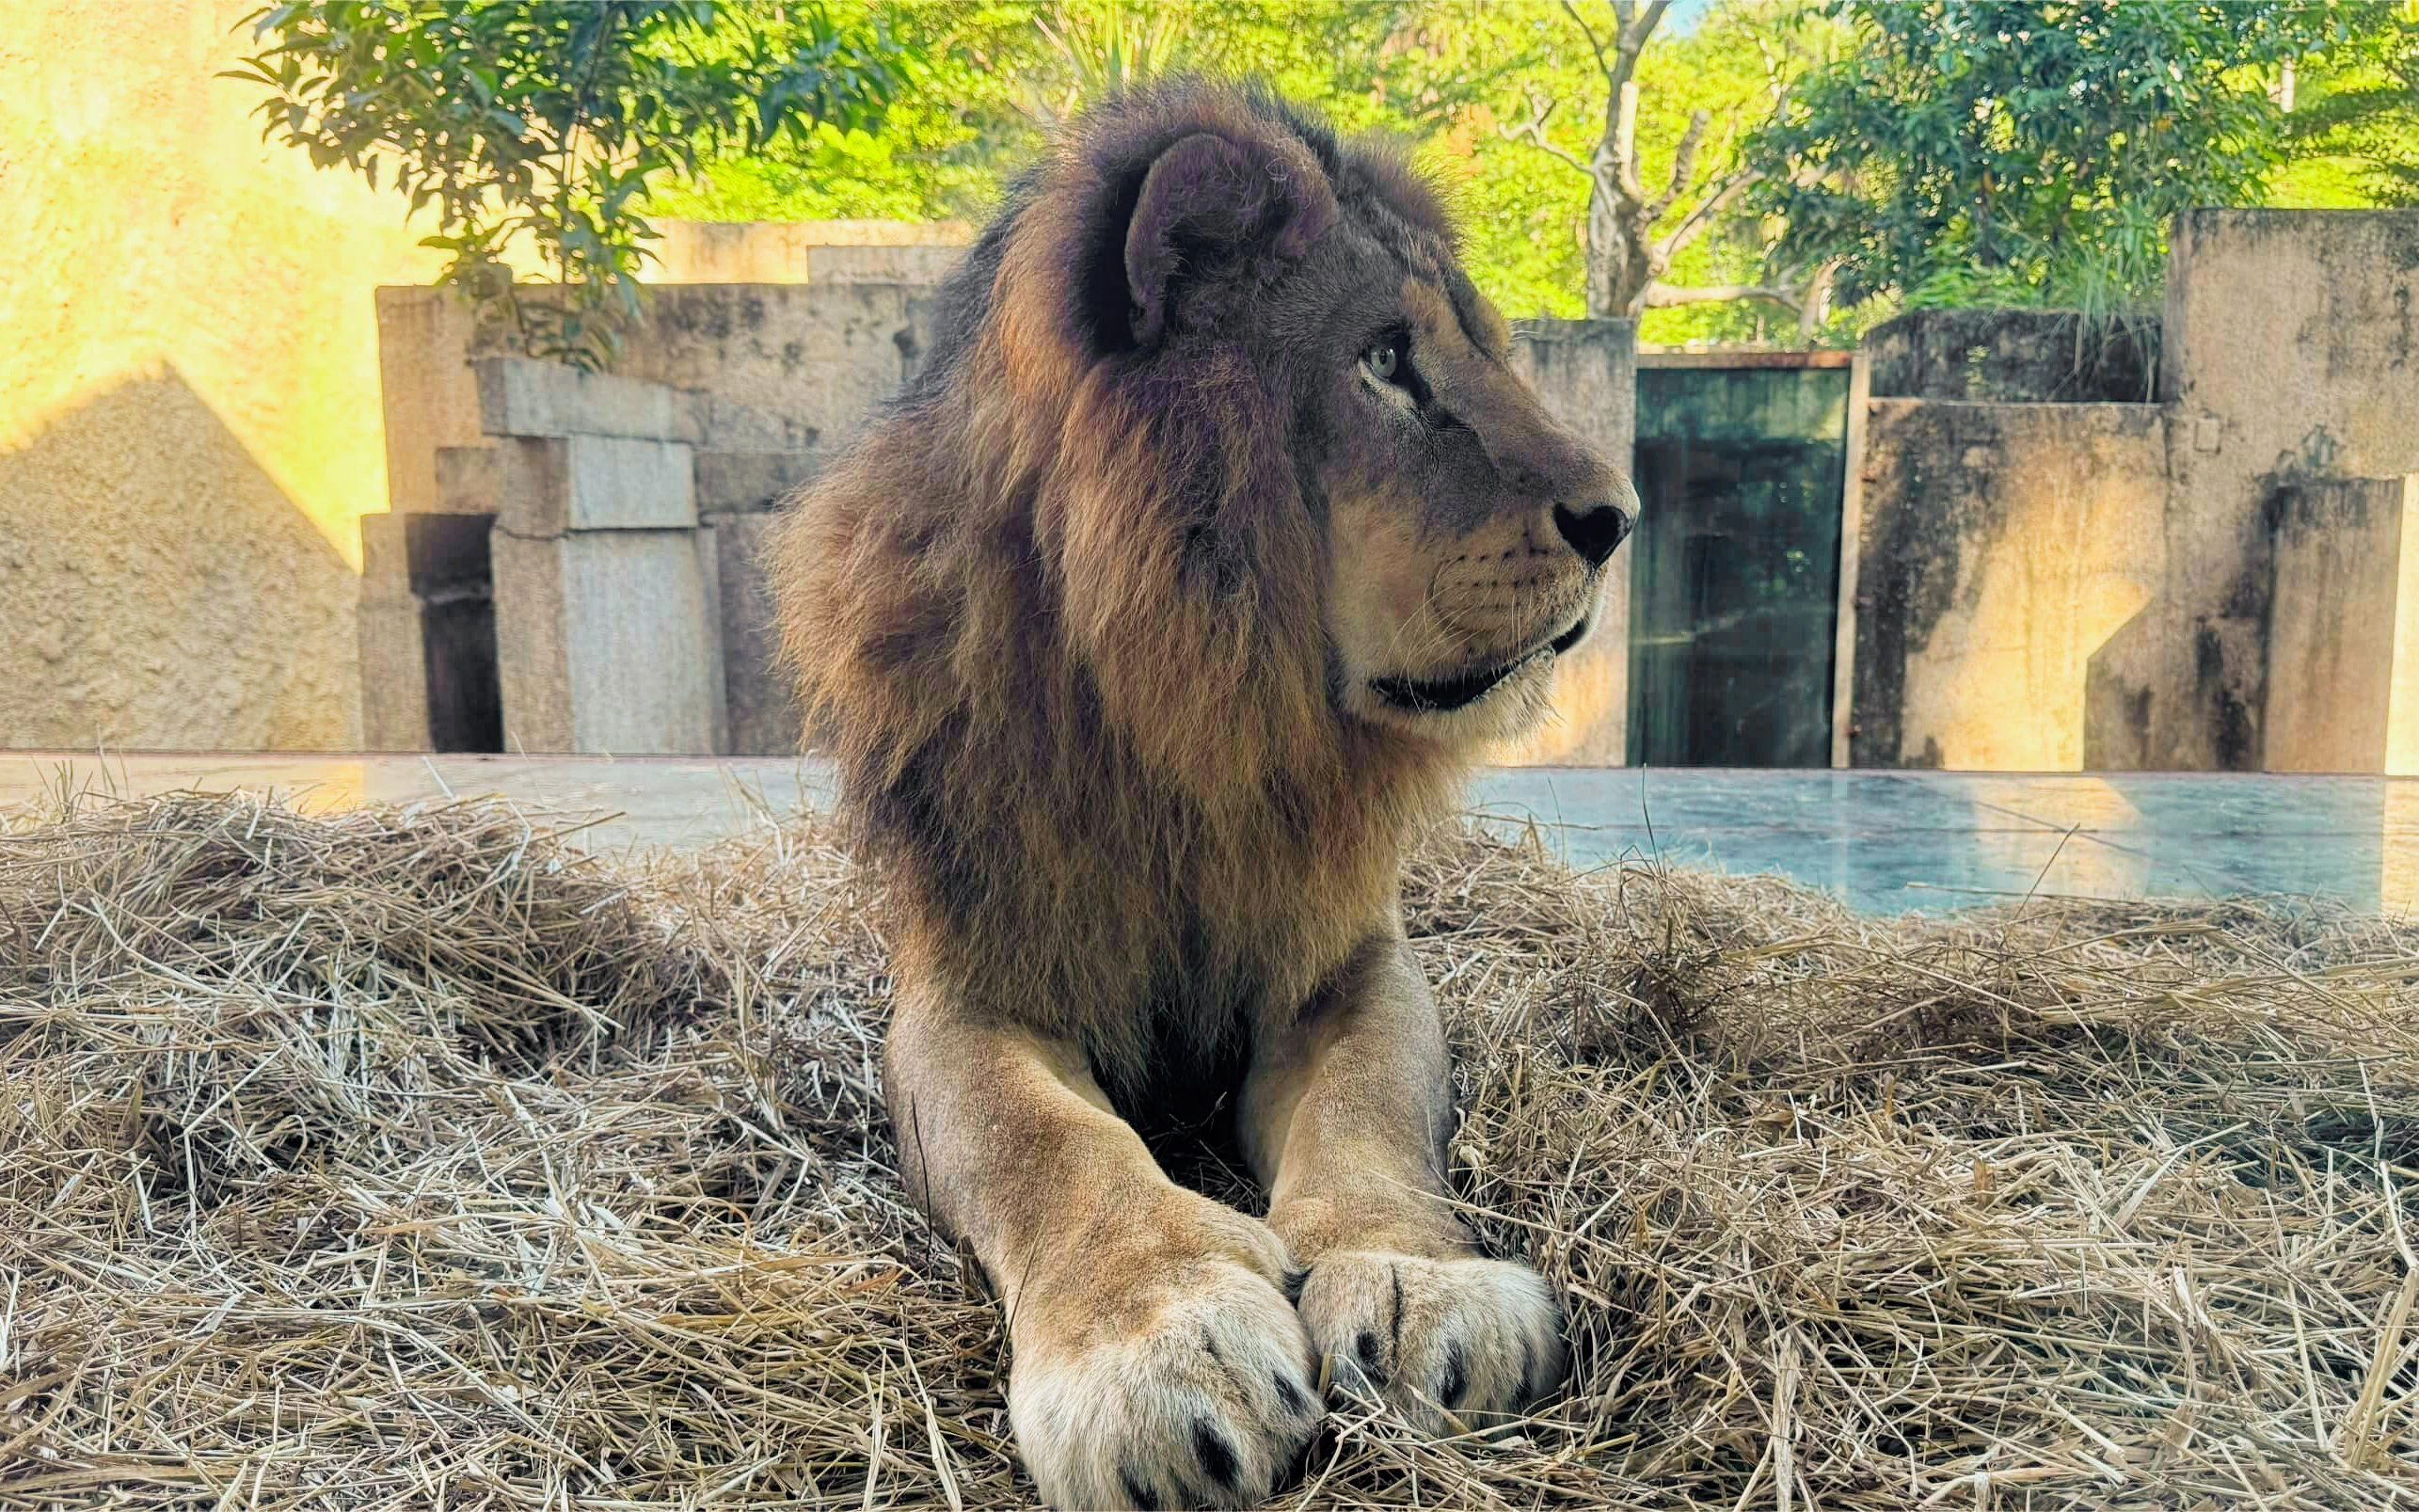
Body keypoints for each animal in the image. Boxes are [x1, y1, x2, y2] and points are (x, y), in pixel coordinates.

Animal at [767, 79, 1636, 1510]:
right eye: (1383, 360)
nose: (1618, 517)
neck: (1203, 726)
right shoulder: (963, 992)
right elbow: (1044, 1139)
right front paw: (1161, 1344)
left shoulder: (1347, 960)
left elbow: (1361, 1113)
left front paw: (1422, 1286)